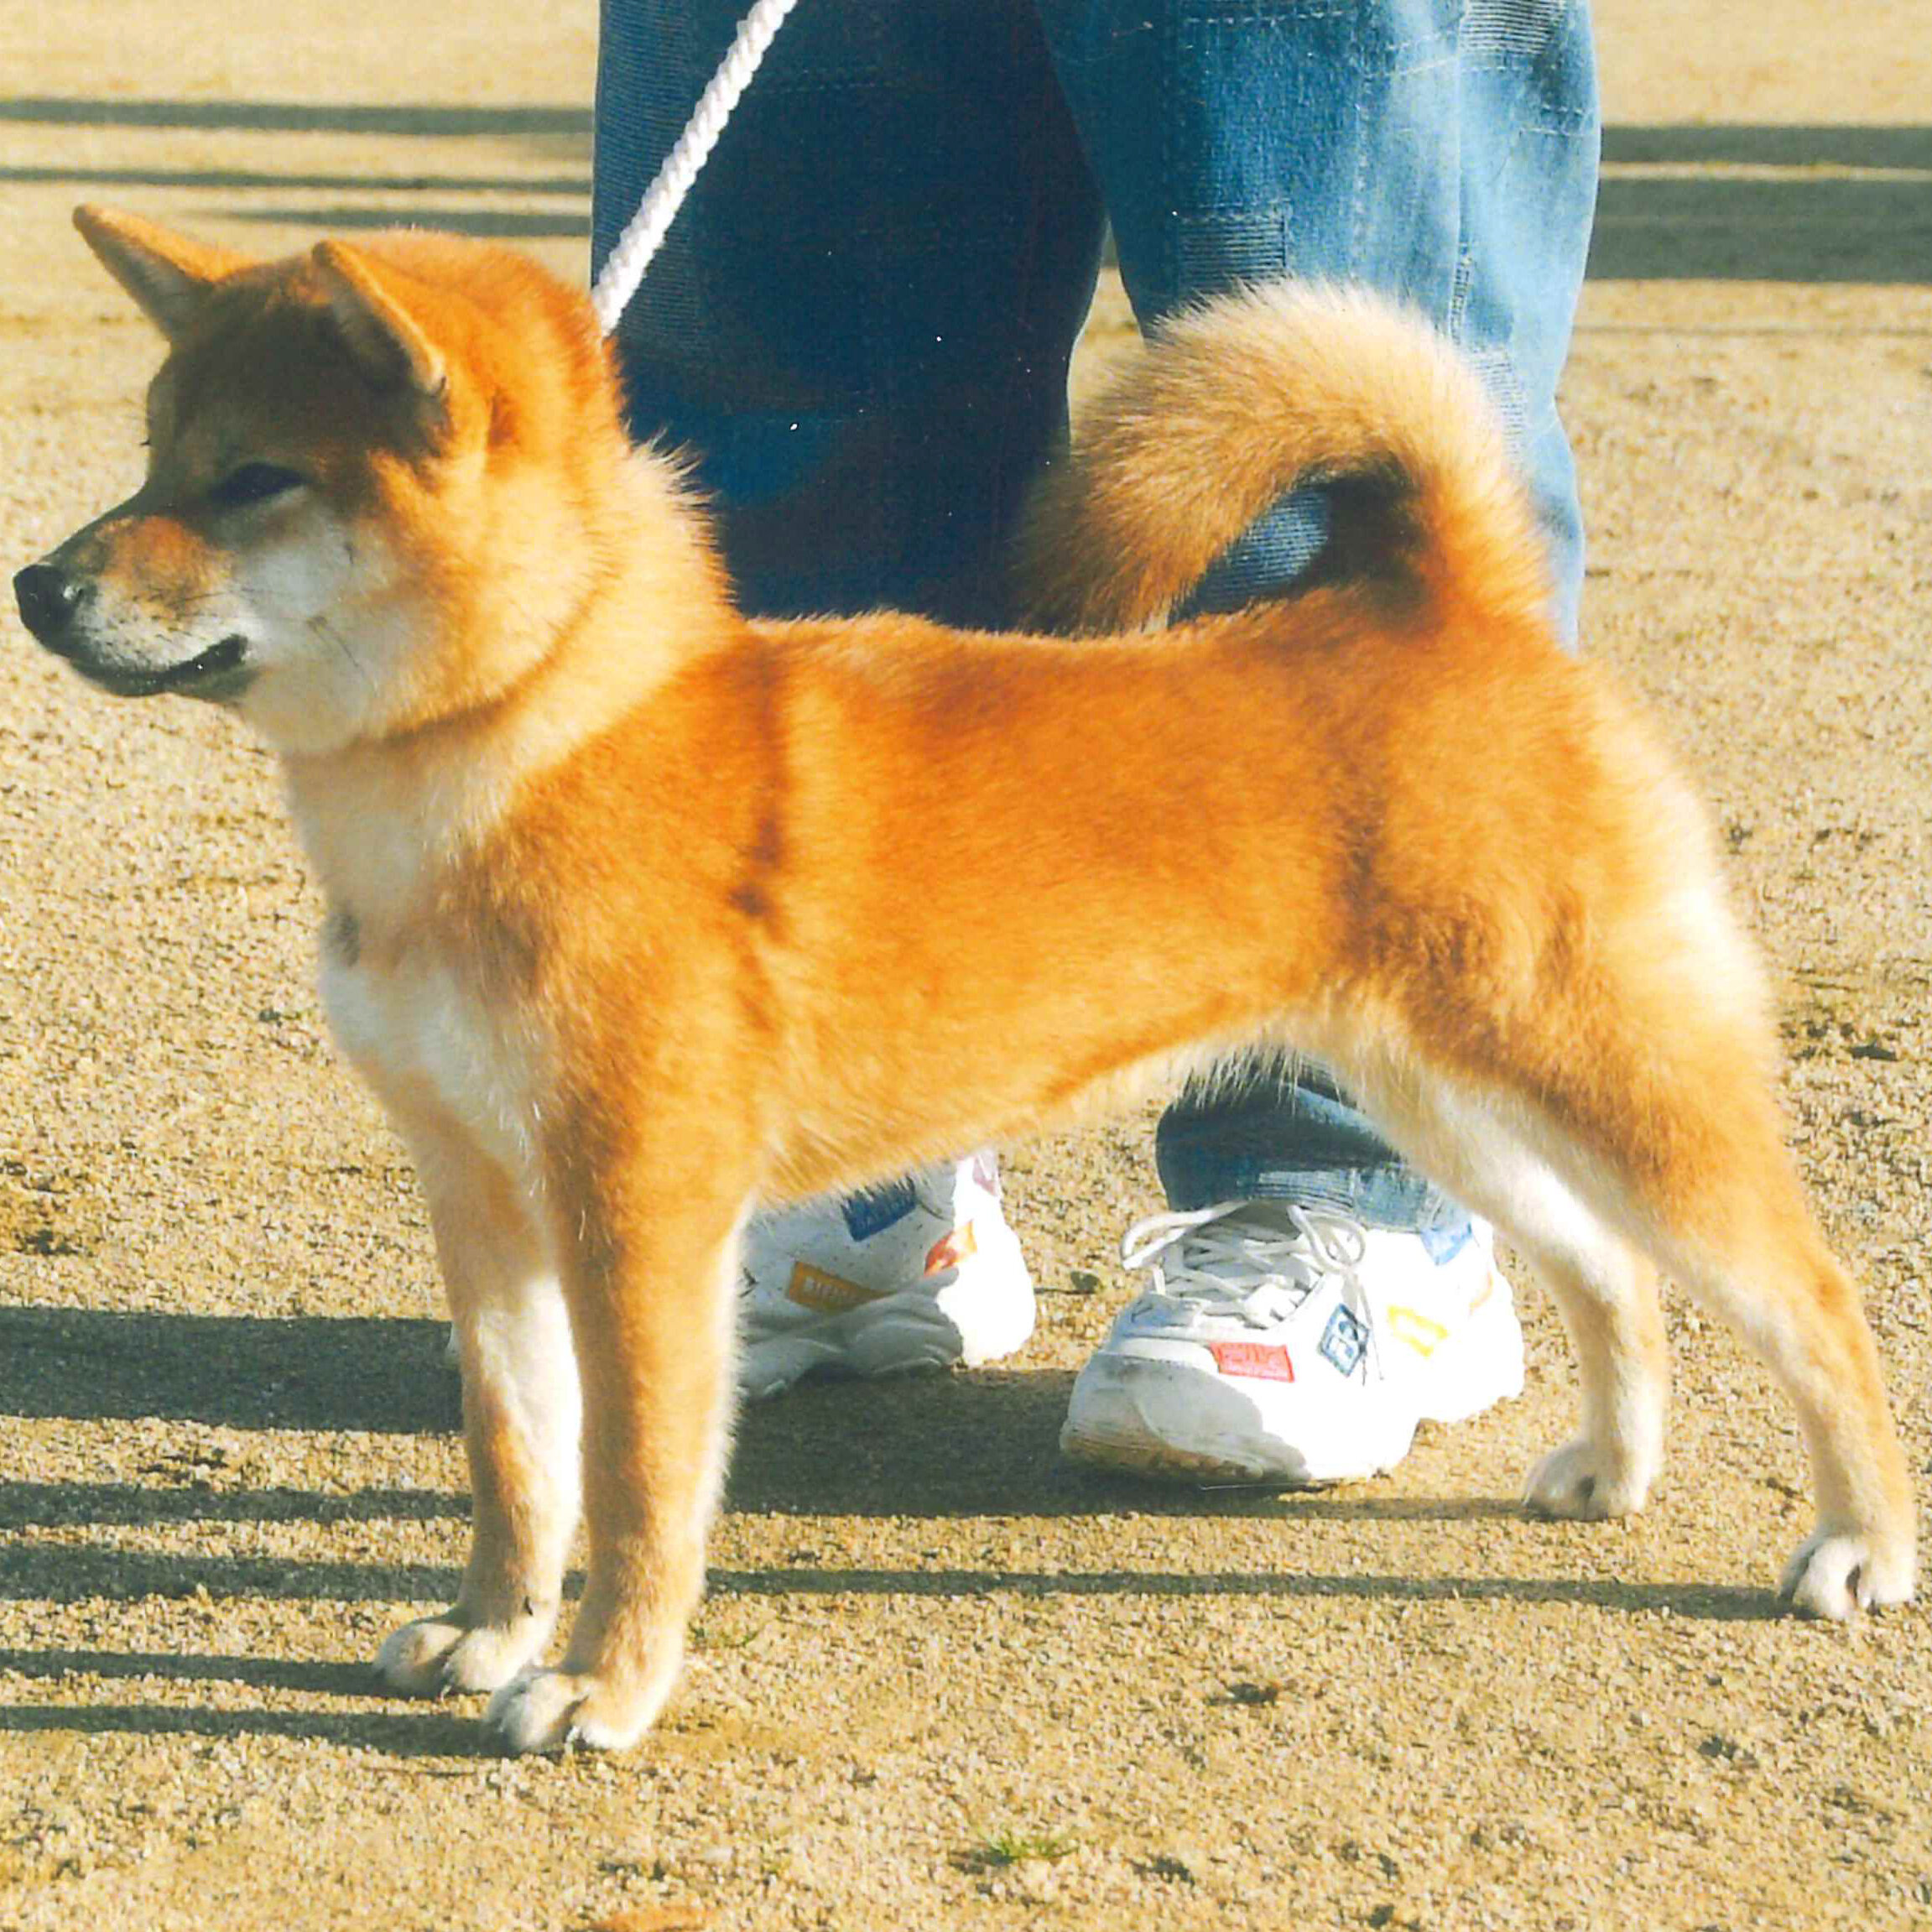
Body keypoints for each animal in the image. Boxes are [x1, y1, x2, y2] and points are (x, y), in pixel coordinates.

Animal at [15, 207, 1914, 1754]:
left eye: (255, 479)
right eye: (150, 456)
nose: (39, 584)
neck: (539, 741)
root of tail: (1439, 601)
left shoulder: (636, 1214)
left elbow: (633, 1486)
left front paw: (600, 1686)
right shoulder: (483, 1197)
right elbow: (516, 1460)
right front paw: (490, 1633)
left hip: (1610, 1075)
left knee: (1809, 1301)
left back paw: (1857, 1542)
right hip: (1442, 1097)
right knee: (1609, 1273)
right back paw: (1613, 1467)